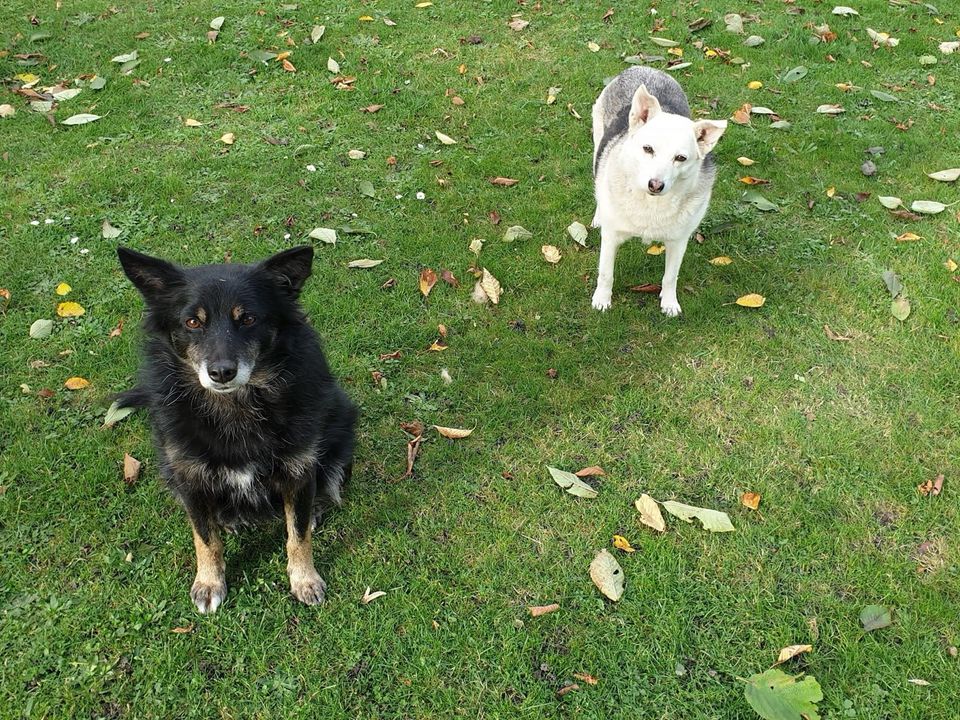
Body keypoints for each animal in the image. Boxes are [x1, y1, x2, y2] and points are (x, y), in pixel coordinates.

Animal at [116, 248, 356, 612]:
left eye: (248, 319)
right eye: (192, 322)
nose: (221, 372)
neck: (235, 408)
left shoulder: (299, 468)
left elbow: (298, 534)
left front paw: (304, 579)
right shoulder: (189, 477)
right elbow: (205, 538)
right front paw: (209, 583)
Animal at [592, 66, 728, 314]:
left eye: (680, 158)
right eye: (648, 149)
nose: (655, 184)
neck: (651, 205)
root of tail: (642, 67)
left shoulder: (679, 241)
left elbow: (670, 276)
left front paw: (669, 302)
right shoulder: (611, 236)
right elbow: (606, 273)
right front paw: (602, 300)